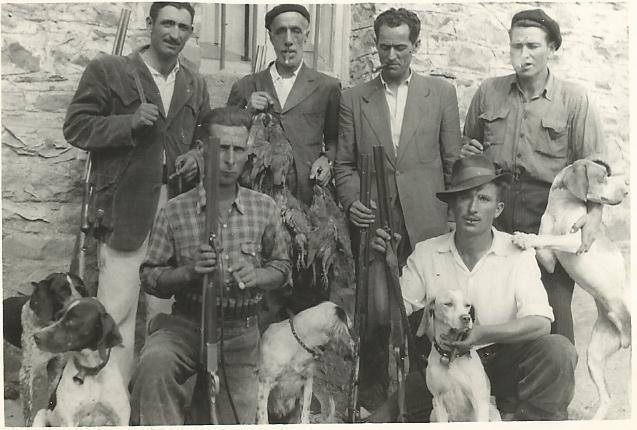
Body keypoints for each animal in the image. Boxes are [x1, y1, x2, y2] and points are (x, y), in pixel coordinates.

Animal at [3, 272, 89, 424]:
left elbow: (52, 397)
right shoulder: (26, 373)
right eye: (62, 291)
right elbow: (28, 411)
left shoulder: (55, 365)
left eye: (81, 289)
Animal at [30, 298, 128, 426]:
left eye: (72, 321)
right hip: (42, 414)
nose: (36, 336)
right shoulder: (69, 420)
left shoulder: (122, 418)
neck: (90, 373)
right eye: (58, 316)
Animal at [414, 288, 500, 422]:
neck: (451, 356)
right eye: (448, 304)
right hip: (433, 413)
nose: (466, 318)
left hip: (493, 412)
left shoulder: (478, 401)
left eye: (467, 305)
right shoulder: (438, 402)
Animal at [510, 159, 628, 420]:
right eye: (603, 176)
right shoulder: (549, 261)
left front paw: (525, 238)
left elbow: (543, 238)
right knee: (607, 397)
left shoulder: (575, 241)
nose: (627, 191)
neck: (559, 208)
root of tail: (624, 336)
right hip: (594, 356)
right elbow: (543, 245)